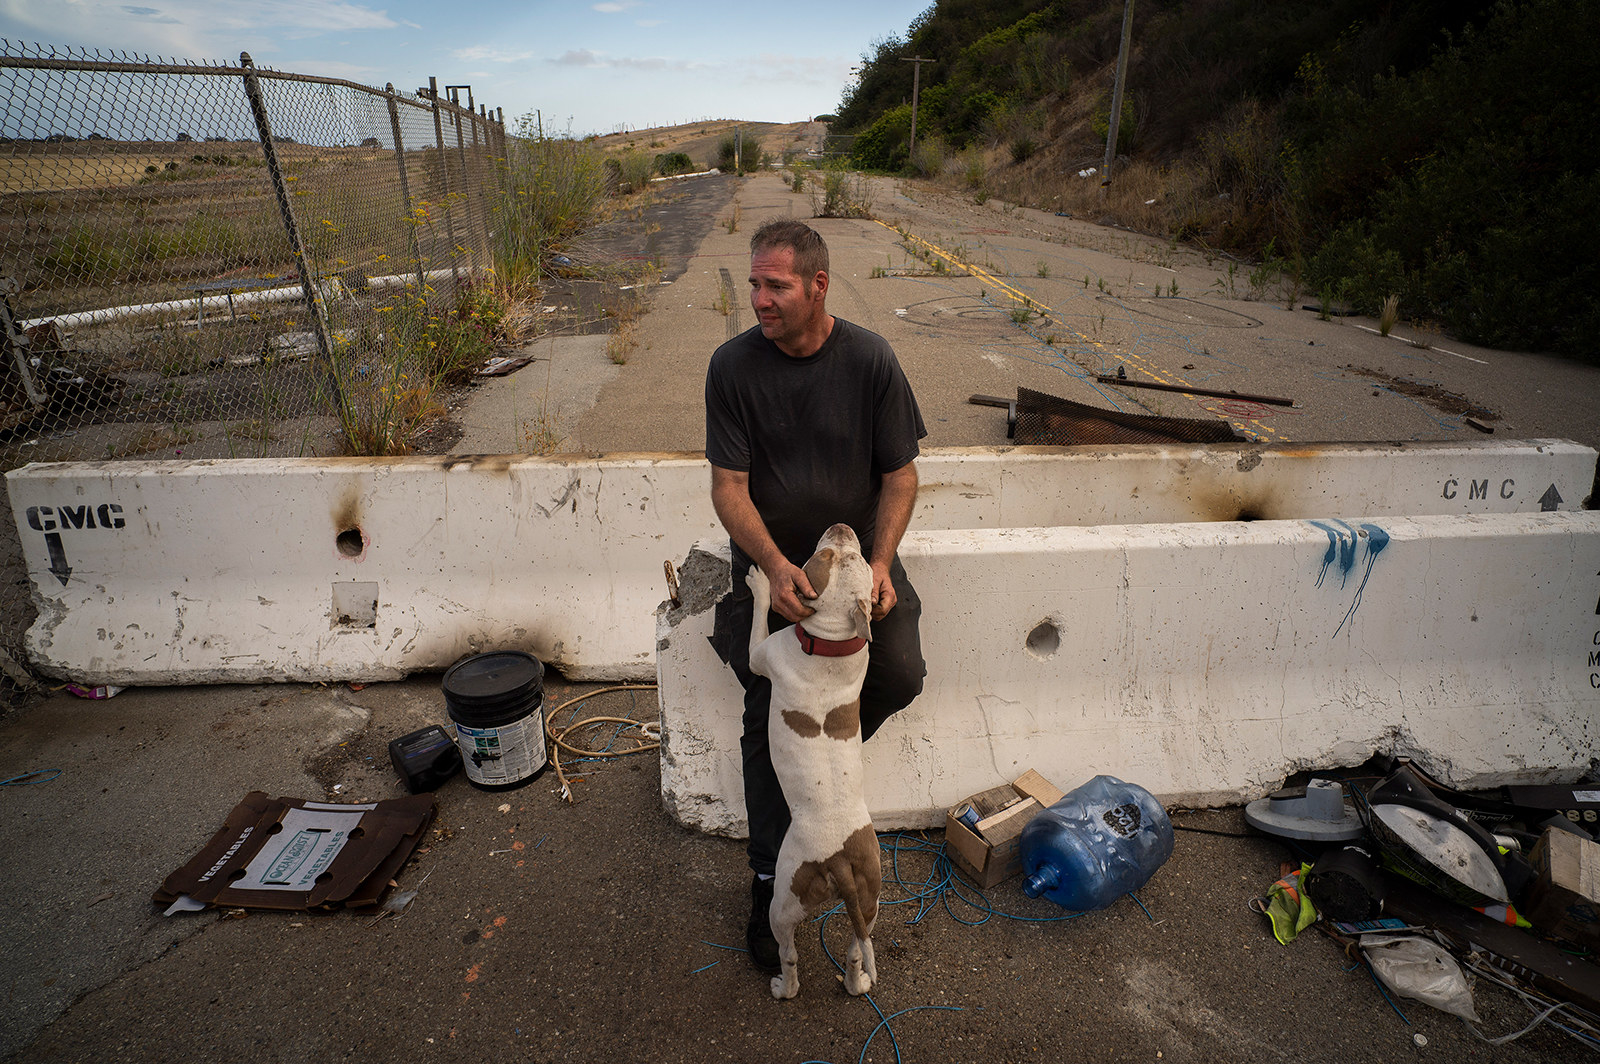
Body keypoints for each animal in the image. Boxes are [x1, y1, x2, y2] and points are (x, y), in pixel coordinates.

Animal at [742, 521, 883, 998]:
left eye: (821, 559)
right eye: (855, 559)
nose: (841, 526)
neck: (830, 639)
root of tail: (838, 859)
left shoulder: (760, 655)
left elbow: (758, 619)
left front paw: (762, 583)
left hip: (785, 899)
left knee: (788, 954)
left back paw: (781, 988)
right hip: (871, 897)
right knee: (859, 948)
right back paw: (857, 983)